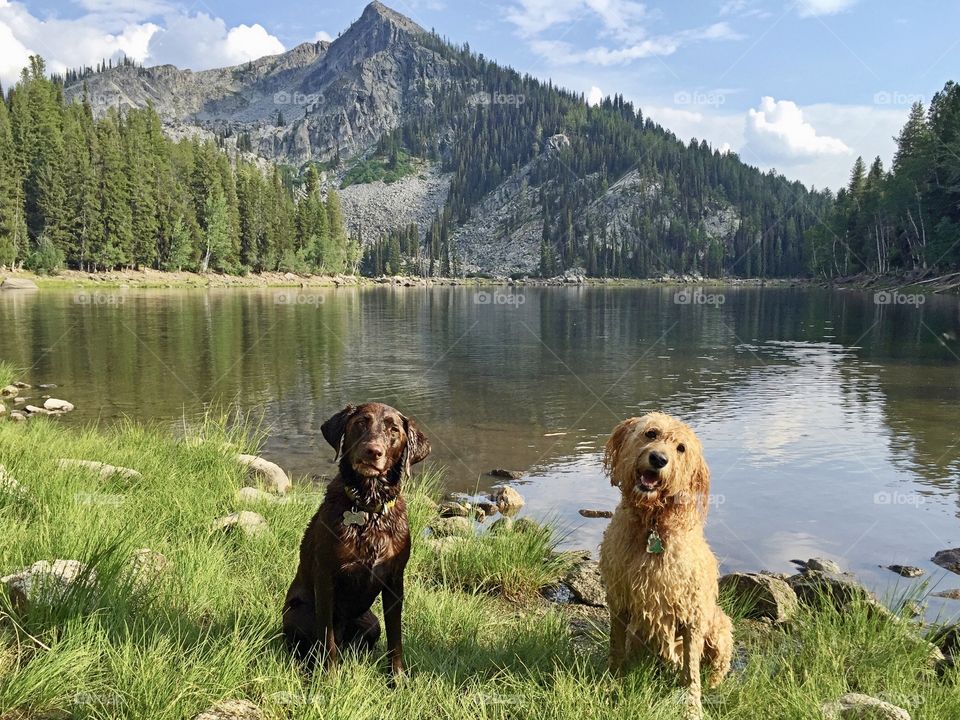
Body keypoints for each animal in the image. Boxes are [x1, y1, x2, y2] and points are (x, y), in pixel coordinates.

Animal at [600, 414, 736, 716]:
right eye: (651, 433)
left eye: (681, 448)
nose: (659, 459)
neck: (652, 524)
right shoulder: (620, 601)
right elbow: (616, 648)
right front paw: (612, 683)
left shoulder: (692, 614)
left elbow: (691, 672)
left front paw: (693, 708)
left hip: (719, 628)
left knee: (713, 668)